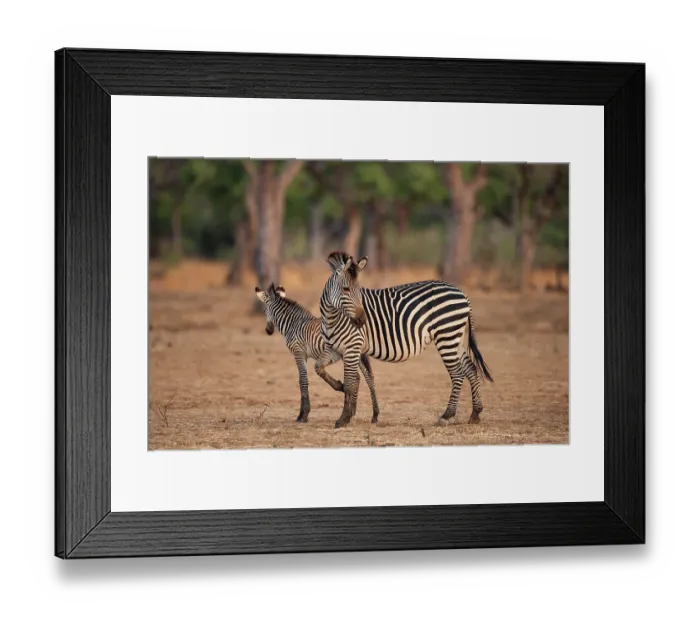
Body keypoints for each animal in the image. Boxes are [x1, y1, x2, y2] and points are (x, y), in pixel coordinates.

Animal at [254, 283, 380, 423]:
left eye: (264, 310)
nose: (268, 331)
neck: (293, 324)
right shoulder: (303, 355)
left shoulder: (298, 352)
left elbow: (302, 380)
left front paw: (303, 414)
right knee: (364, 377)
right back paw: (367, 413)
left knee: (363, 377)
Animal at [318, 251, 494, 429]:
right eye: (346, 289)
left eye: (359, 291)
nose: (362, 321)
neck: (332, 317)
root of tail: (462, 293)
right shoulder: (337, 349)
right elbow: (322, 369)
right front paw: (345, 398)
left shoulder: (353, 347)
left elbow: (350, 383)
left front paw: (343, 418)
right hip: (456, 338)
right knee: (470, 369)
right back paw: (475, 413)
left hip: (446, 336)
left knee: (457, 374)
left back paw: (447, 415)